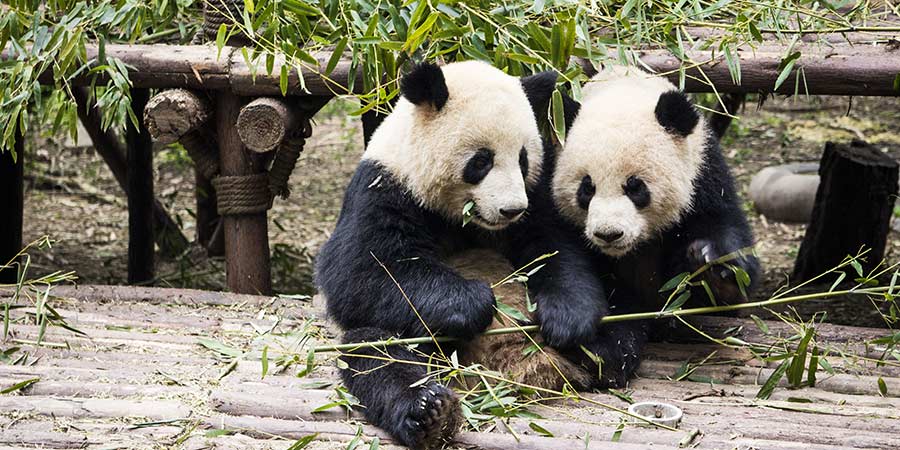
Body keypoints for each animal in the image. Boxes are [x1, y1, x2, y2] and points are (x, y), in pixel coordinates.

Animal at [315, 61, 614, 450]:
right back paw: (429, 411)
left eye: (523, 159)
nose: (511, 209)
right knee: (375, 353)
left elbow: (558, 247)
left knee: (612, 343)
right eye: (482, 160)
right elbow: (358, 273)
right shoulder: (384, 187)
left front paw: (565, 317)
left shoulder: (536, 195)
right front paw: (474, 301)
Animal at [550, 65, 761, 381]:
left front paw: (712, 268)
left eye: (635, 187)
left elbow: (724, 232)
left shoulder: (704, 175)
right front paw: (607, 349)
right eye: (586, 188)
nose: (608, 234)